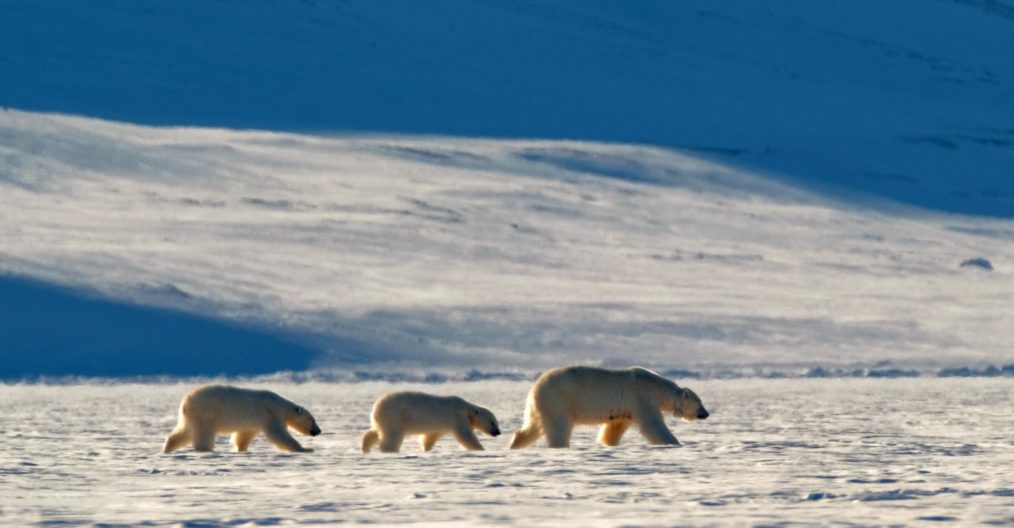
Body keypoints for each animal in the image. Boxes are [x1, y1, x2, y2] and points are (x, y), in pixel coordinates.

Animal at [162, 383, 320, 451]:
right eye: (313, 420)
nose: (319, 431)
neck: (280, 405)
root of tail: (185, 403)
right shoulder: (271, 414)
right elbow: (280, 435)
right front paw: (305, 449)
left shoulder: (253, 422)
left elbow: (244, 435)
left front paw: (240, 449)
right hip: (204, 414)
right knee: (202, 435)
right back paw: (205, 449)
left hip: (192, 417)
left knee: (184, 433)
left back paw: (167, 449)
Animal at [363, 391, 500, 451]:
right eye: (492, 422)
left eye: (496, 422)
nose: (498, 432)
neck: (467, 410)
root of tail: (377, 407)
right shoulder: (457, 418)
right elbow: (466, 436)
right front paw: (481, 449)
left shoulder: (440, 425)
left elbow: (431, 436)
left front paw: (426, 449)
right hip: (394, 416)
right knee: (392, 435)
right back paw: (390, 450)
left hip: (384, 419)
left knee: (375, 432)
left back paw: (365, 447)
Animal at [511, 366, 709, 447]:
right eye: (700, 402)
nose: (706, 414)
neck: (657, 389)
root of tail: (535, 387)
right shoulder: (641, 398)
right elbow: (653, 425)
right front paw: (674, 442)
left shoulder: (624, 410)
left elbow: (614, 428)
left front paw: (606, 443)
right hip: (558, 400)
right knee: (558, 427)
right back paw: (560, 445)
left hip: (541, 405)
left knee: (532, 427)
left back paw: (515, 444)